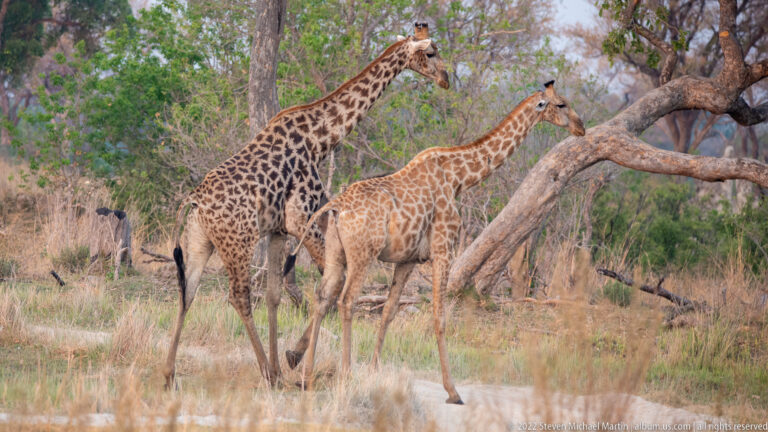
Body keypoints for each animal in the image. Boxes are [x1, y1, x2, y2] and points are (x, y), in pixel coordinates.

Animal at [163, 23, 450, 389]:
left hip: (201, 242)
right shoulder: (304, 218)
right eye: (431, 52)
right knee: (238, 295)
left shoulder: (277, 229)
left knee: (188, 290)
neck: (320, 138)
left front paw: (285, 361)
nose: (446, 78)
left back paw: (169, 374)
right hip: (238, 243)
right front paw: (292, 358)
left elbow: (275, 295)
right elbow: (330, 286)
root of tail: (194, 200)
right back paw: (266, 372)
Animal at [285, 81, 585, 403]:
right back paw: (345, 374)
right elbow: (439, 318)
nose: (581, 127)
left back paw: (307, 376)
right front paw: (452, 391)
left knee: (322, 297)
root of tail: (336, 206)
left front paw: (375, 369)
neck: (459, 178)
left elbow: (389, 312)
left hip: (335, 253)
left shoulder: (408, 259)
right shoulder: (443, 250)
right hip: (363, 254)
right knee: (347, 300)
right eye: (562, 104)